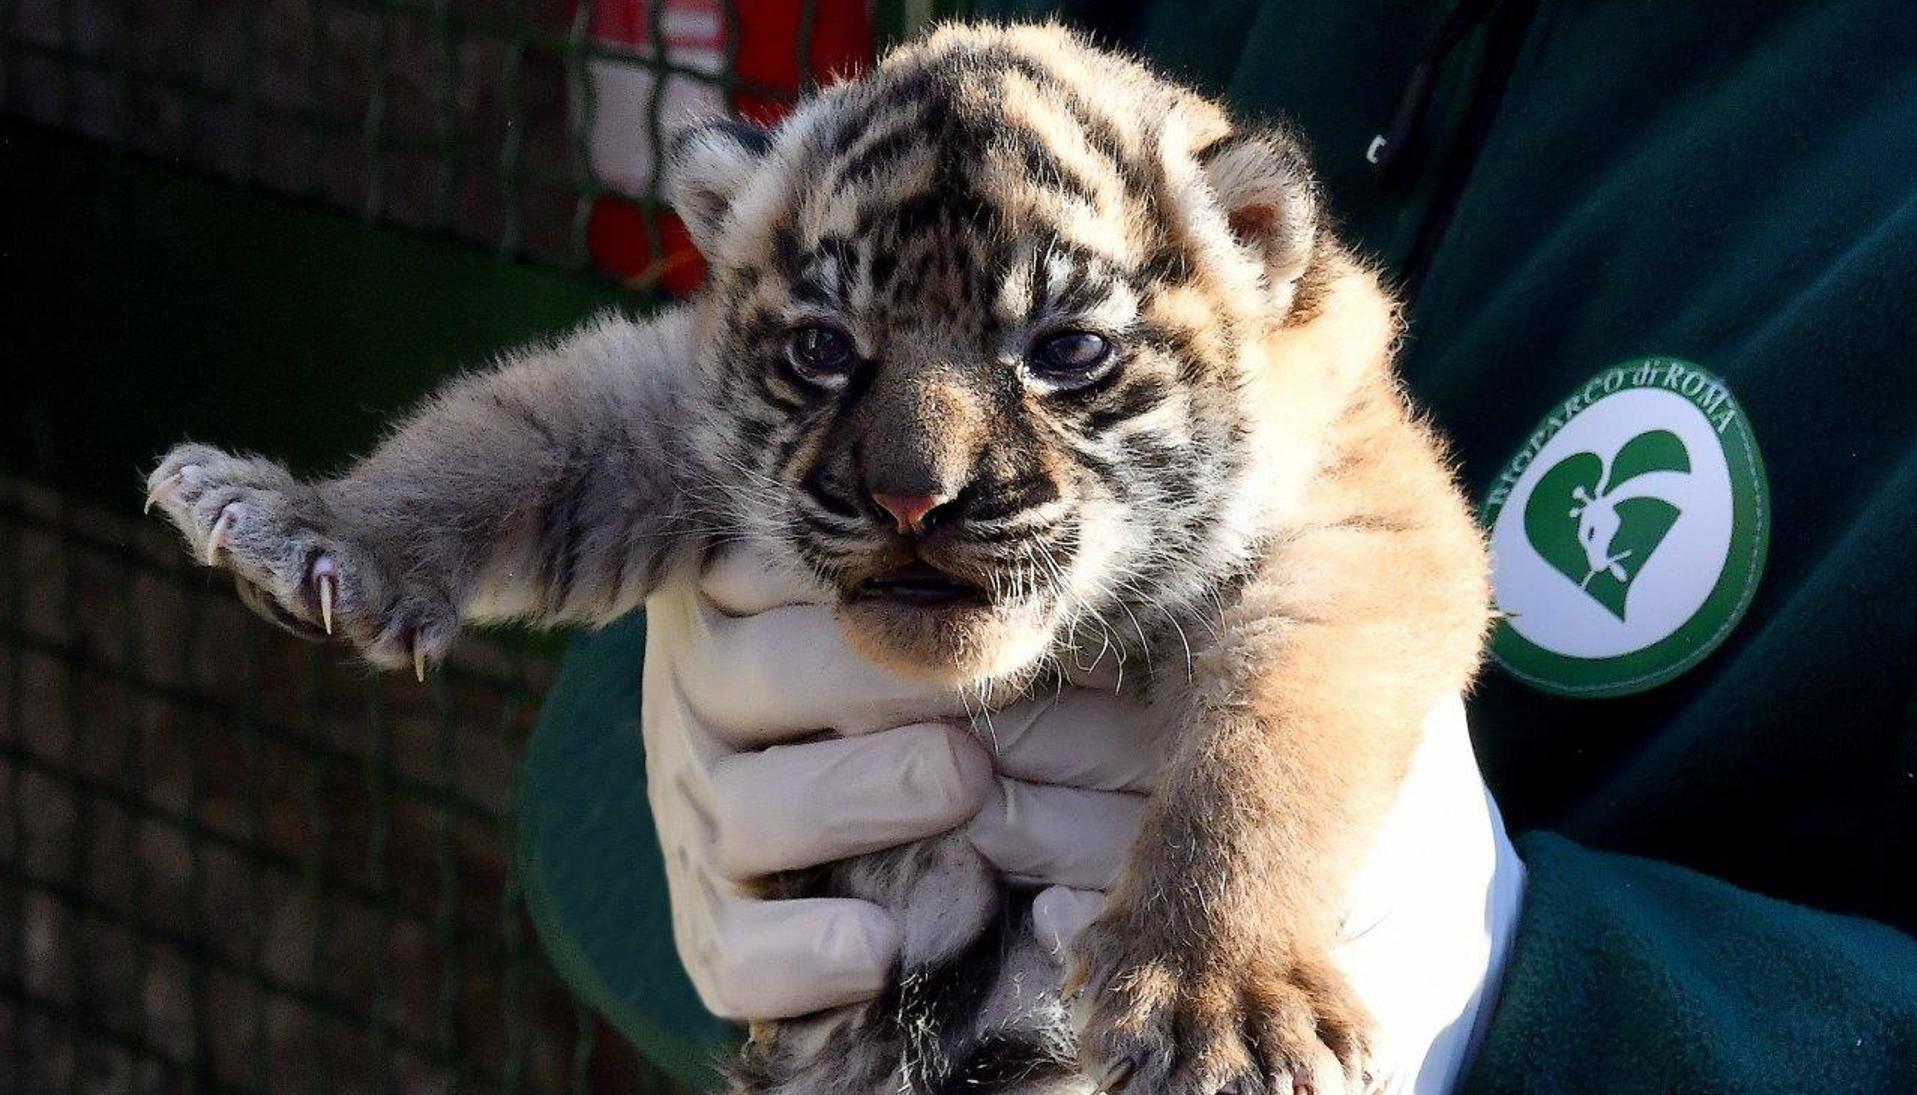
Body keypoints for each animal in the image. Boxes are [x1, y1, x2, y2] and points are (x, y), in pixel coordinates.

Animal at [145, 22, 1490, 1095]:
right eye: (825, 349)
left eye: (1064, 351)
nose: (911, 498)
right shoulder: (661, 407)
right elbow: (502, 434)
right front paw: (297, 523)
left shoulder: (1353, 546)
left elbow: (1265, 756)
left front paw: (1216, 998)